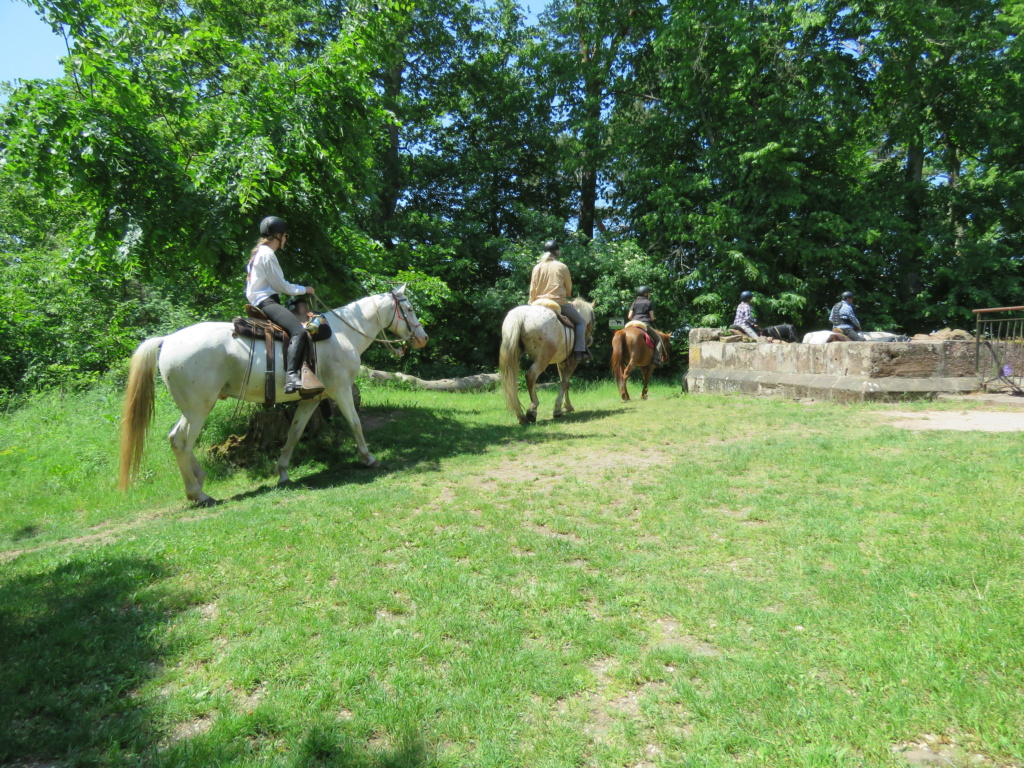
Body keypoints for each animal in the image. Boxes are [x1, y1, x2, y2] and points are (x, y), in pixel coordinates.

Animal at [119, 286, 428, 507]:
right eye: (410, 308)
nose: (423, 337)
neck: (342, 333)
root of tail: (168, 339)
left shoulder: (311, 399)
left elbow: (294, 433)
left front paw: (283, 473)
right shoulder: (340, 389)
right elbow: (355, 423)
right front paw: (368, 458)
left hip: (191, 408)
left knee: (175, 439)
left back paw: (200, 481)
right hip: (198, 407)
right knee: (182, 442)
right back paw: (199, 494)